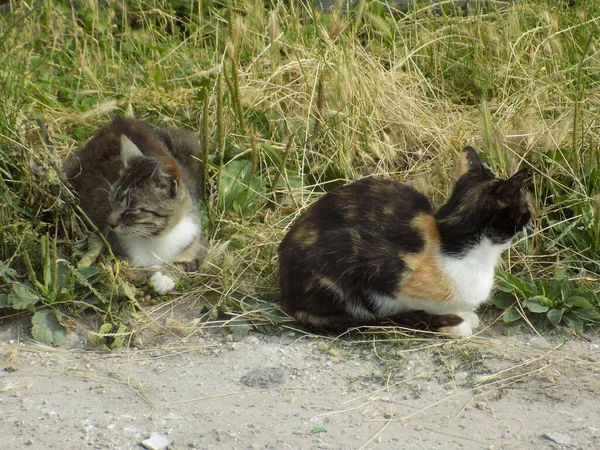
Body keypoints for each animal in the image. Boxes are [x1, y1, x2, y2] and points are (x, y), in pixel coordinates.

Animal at [63, 115, 206, 296]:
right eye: (111, 201)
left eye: (131, 209)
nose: (110, 224)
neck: (156, 238)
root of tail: (120, 120)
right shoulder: (112, 255)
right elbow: (130, 271)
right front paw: (153, 272)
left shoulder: (198, 244)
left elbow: (186, 263)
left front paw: (164, 277)